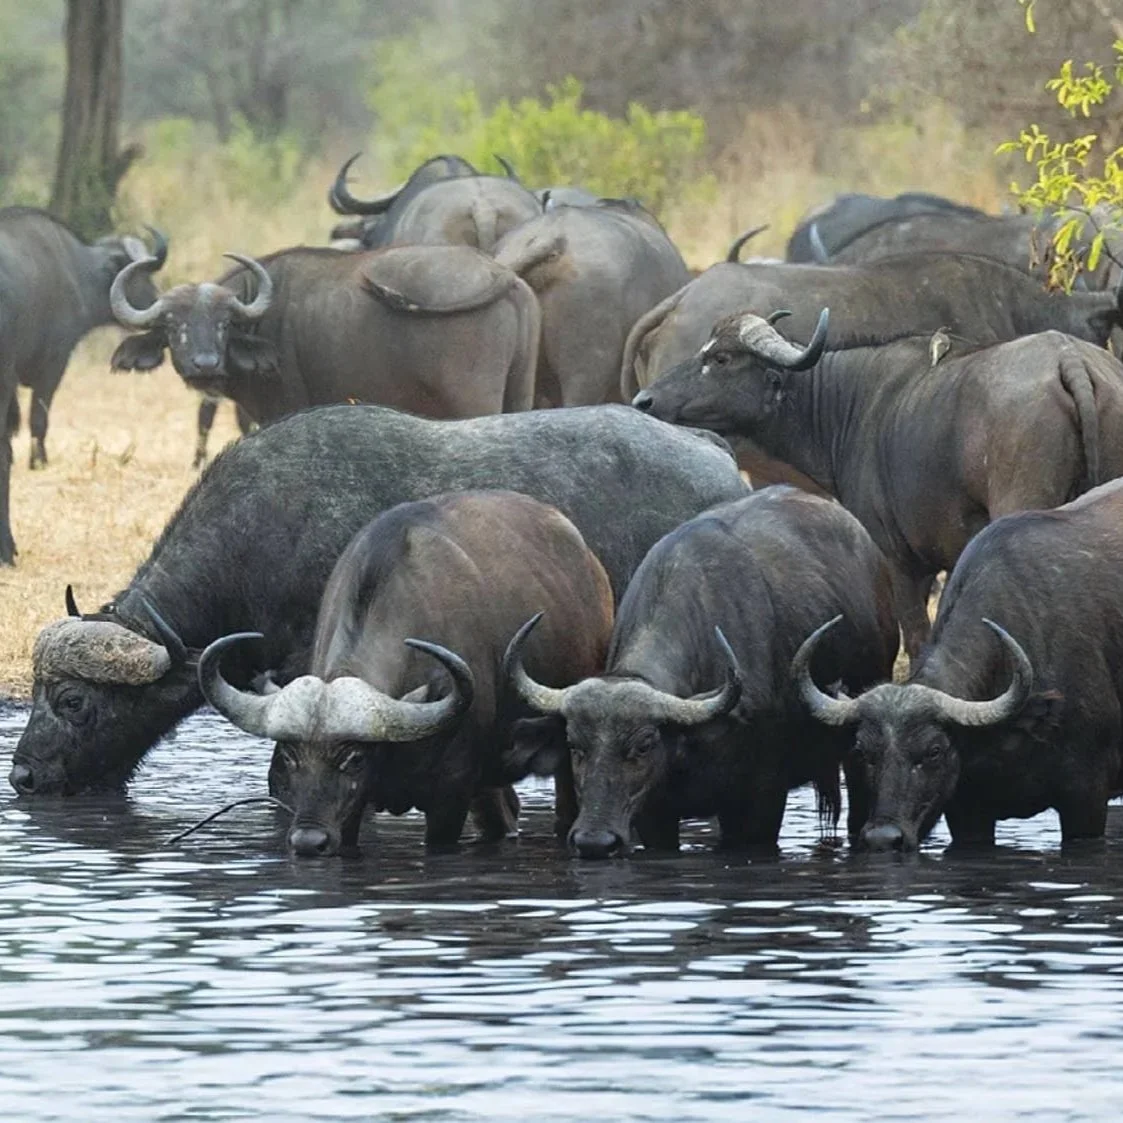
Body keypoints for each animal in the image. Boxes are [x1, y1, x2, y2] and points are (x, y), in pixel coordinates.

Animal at [109, 241, 550, 425]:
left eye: (223, 323)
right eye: (173, 324)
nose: (204, 364)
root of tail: (500, 273)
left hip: (475, 400)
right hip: (520, 391)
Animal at [635, 317, 1123, 658]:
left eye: (720, 359)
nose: (644, 399)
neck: (850, 402)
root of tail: (1068, 360)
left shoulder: (900, 561)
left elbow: (917, 637)